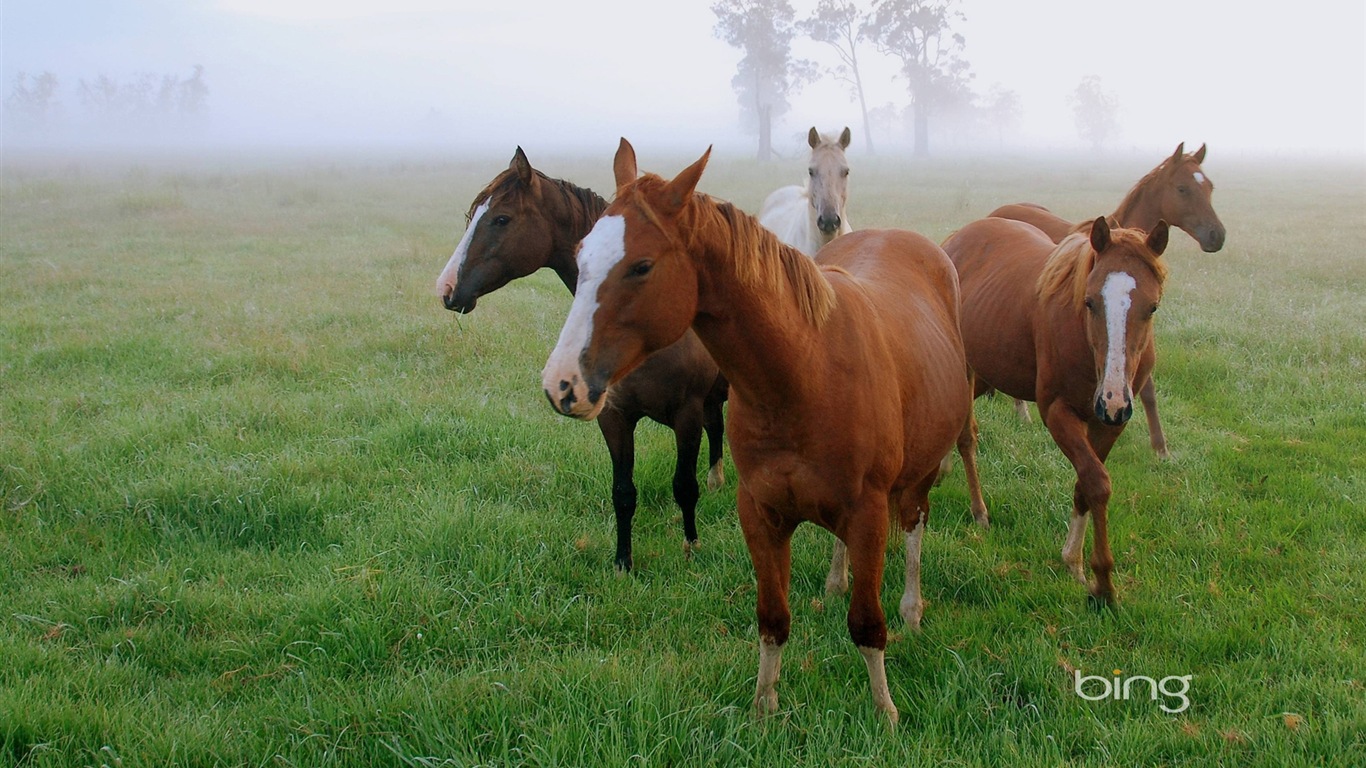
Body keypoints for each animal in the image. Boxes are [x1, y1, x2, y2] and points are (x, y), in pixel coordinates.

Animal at [434, 146, 732, 571]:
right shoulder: (614, 418)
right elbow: (623, 492)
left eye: (501, 218)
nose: (446, 289)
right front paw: (623, 563)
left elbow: (684, 487)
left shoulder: (685, 416)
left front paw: (691, 546)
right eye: (471, 215)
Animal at [540, 138, 972, 721]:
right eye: (581, 255)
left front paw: (885, 712)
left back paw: (911, 606)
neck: (804, 372)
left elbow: (866, 624)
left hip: (919, 474)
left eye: (641, 266)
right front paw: (764, 707)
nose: (562, 384)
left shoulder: (867, 511)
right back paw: (836, 581)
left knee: (914, 526)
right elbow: (772, 619)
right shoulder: (761, 513)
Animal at [939, 213, 1174, 604]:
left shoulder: (1109, 424)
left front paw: (1074, 562)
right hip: (966, 366)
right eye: (1090, 302)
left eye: (1152, 306)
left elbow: (1085, 484)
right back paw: (979, 511)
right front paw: (1102, 583)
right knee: (966, 437)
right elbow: (1096, 482)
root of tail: (955, 239)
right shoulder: (1058, 413)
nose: (1112, 398)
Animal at [988, 142, 1223, 453]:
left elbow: (1146, 389)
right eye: (1183, 188)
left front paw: (1160, 447)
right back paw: (1021, 411)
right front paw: (1159, 446)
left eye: (1209, 186)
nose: (1217, 236)